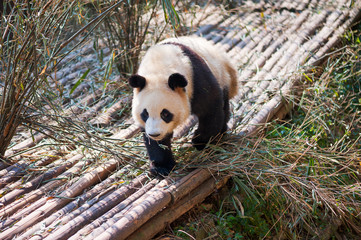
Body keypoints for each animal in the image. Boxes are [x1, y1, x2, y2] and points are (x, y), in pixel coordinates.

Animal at [128, 36, 238, 176]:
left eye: (165, 113)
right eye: (145, 113)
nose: (155, 134)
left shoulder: (197, 79)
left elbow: (211, 110)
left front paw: (199, 141)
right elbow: (154, 142)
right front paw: (161, 167)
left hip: (222, 76)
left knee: (224, 107)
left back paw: (220, 134)